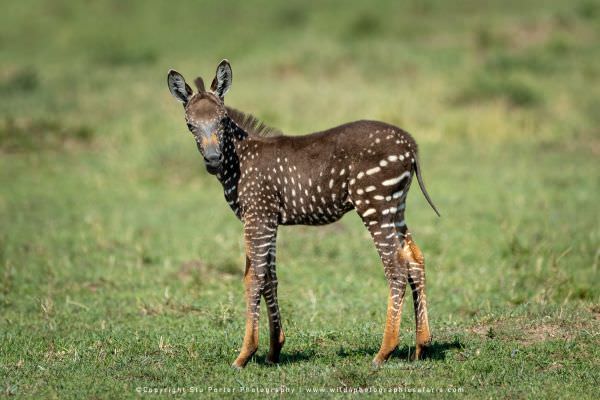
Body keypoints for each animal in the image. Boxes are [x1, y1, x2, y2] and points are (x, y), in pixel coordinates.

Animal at [166, 59, 438, 368]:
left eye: (222, 120)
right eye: (190, 125)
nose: (212, 161)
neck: (239, 159)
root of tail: (411, 144)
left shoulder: (257, 217)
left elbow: (253, 278)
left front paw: (245, 354)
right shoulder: (268, 219)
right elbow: (270, 279)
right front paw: (274, 349)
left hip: (374, 205)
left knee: (395, 266)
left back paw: (385, 351)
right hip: (395, 207)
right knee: (415, 258)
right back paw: (421, 345)